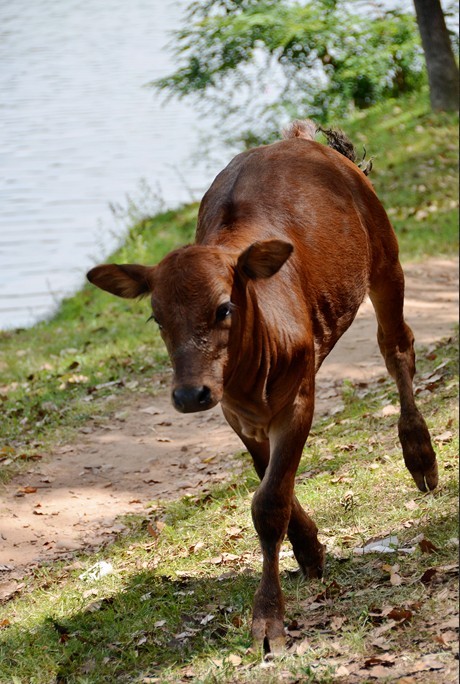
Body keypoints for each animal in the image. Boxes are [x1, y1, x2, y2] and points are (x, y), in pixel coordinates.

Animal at [87, 121, 438, 652]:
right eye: (157, 317)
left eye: (224, 307)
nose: (189, 394)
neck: (251, 373)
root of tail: (298, 138)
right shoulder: (237, 414)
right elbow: (271, 482)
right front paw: (309, 550)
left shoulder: (298, 399)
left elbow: (270, 503)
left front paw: (268, 618)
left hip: (385, 256)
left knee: (397, 348)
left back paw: (421, 456)